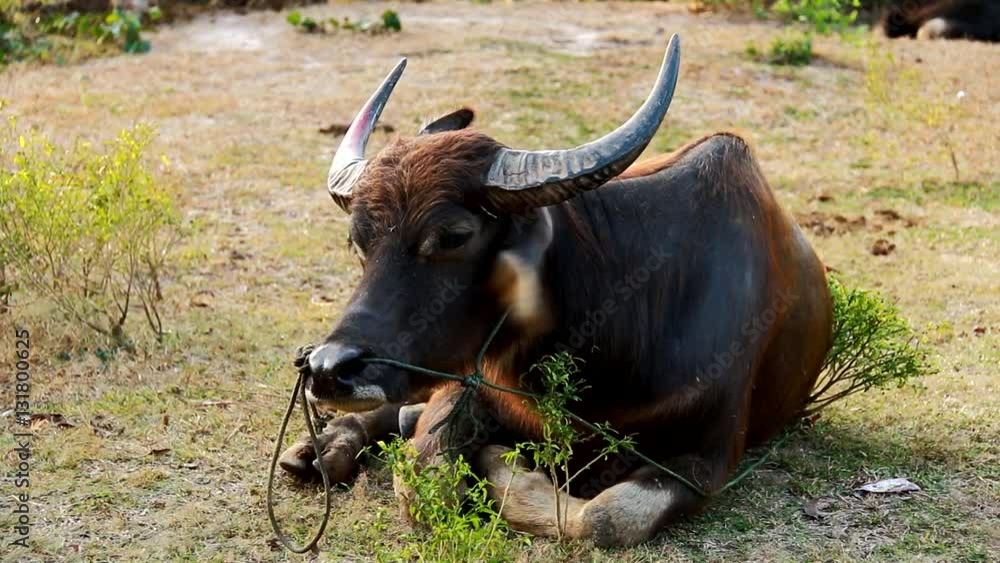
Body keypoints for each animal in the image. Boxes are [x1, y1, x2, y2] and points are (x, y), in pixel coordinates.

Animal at [279, 35, 834, 547]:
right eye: (359, 240)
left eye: (454, 236)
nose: (328, 369)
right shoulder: (474, 386)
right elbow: (424, 479)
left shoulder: (709, 454)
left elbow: (606, 518)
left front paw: (499, 464)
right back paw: (319, 449)